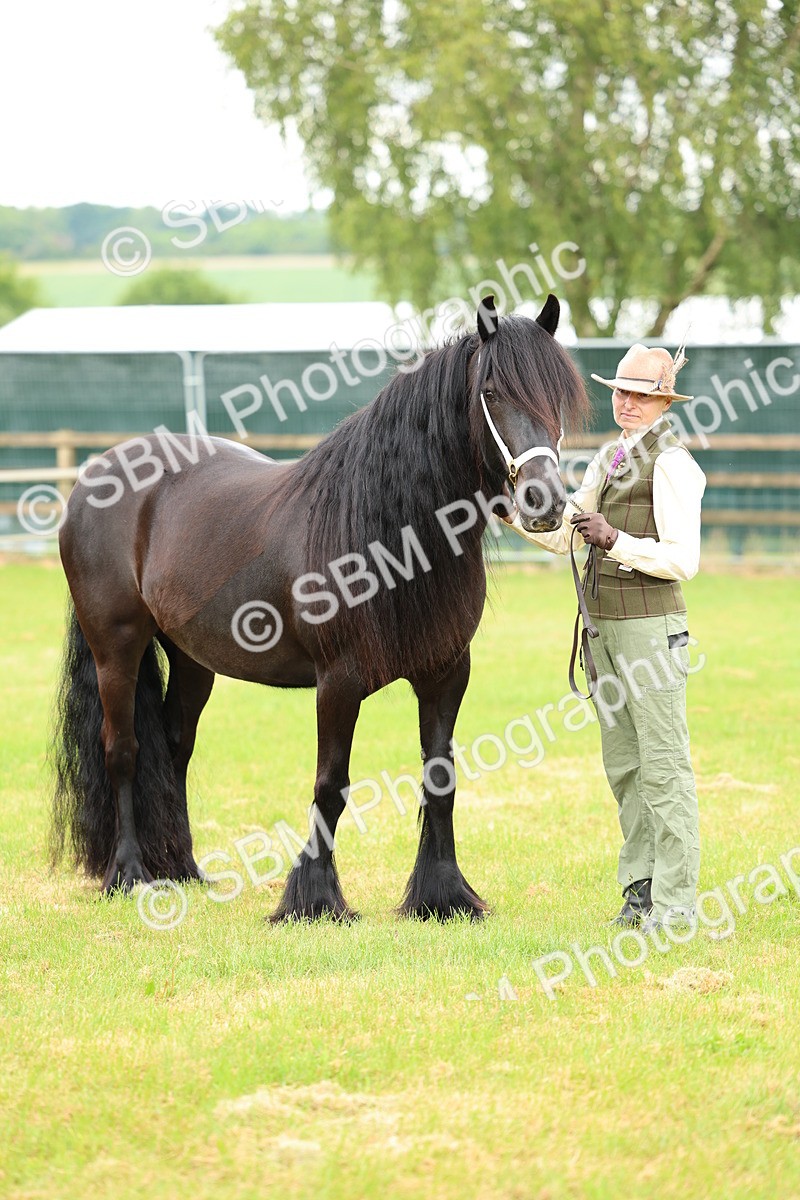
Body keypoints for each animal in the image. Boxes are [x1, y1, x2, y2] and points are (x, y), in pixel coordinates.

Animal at [51, 294, 588, 922]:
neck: (389, 532)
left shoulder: (446, 674)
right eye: (493, 391)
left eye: (559, 397)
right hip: (116, 647)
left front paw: (442, 896)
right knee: (124, 750)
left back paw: (182, 869)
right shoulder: (338, 681)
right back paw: (130, 875)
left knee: (175, 747)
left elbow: (441, 779)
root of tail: (96, 473)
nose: (544, 502)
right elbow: (330, 785)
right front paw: (312, 899)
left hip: (190, 659)